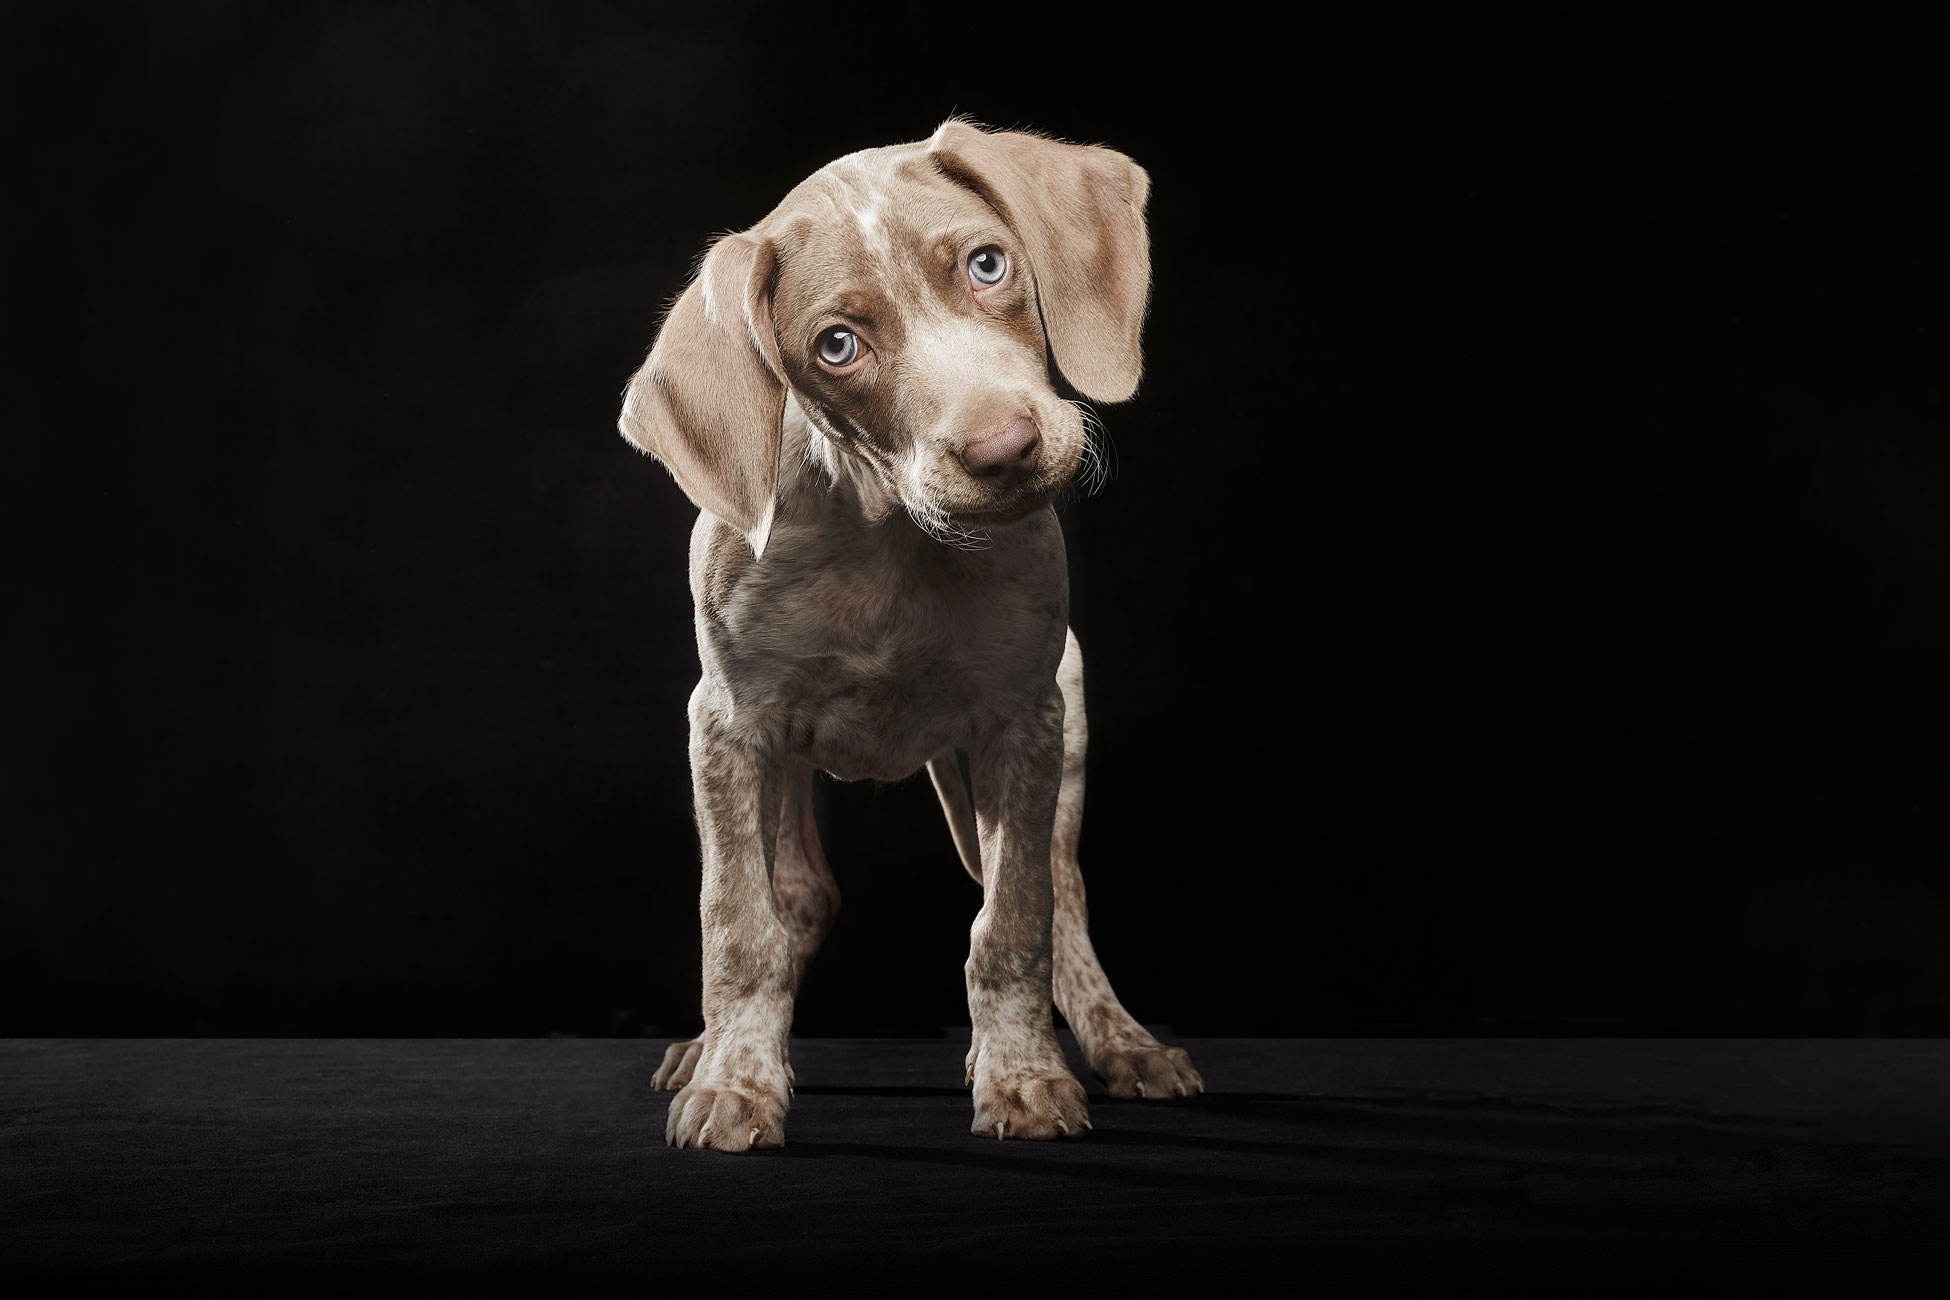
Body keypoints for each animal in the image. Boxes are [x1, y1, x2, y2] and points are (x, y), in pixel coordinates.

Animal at [624, 114, 1201, 1146]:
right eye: (838, 345)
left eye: (987, 265)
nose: (1005, 450)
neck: (891, 536)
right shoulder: (727, 725)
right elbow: (738, 922)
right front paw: (735, 1082)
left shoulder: (1022, 723)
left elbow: (1012, 925)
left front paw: (1021, 1077)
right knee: (797, 896)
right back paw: (713, 1048)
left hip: (1050, 736)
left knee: (1060, 896)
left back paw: (1120, 1044)